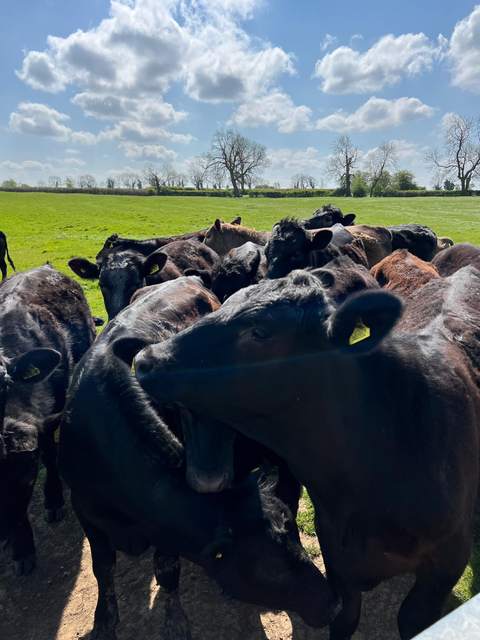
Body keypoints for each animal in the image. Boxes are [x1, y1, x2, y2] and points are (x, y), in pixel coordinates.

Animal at [59, 276, 336, 640]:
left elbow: (166, 568)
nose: (331, 603)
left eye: (293, 533)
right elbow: (102, 567)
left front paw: (174, 619)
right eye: (268, 569)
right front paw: (104, 619)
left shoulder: (165, 530)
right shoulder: (86, 511)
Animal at [135, 266, 480, 640]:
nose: (145, 359)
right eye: (224, 303)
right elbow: (345, 616)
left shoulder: (446, 563)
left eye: (260, 331)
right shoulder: (335, 550)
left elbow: (412, 619)